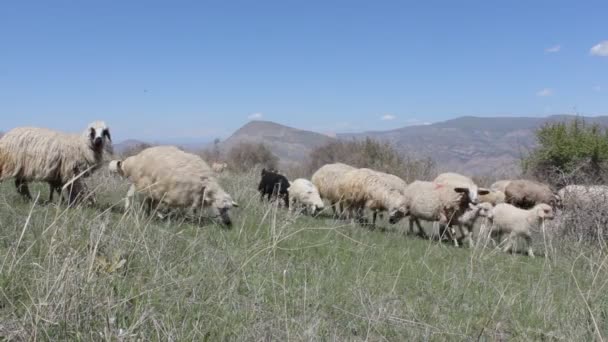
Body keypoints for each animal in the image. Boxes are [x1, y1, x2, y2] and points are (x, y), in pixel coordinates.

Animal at [108, 146, 236, 226]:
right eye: (221, 208)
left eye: (229, 208)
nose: (228, 223)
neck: (205, 183)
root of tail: (136, 158)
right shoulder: (181, 193)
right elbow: (191, 210)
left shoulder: (191, 195)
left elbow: (191, 210)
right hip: (144, 184)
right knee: (133, 196)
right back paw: (133, 210)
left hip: (147, 186)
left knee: (142, 199)